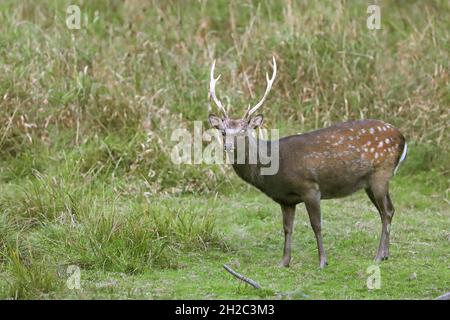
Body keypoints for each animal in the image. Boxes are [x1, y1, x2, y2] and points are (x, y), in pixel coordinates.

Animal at [207, 57, 408, 268]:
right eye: (223, 132)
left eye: (243, 131)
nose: (228, 147)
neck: (273, 169)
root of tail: (402, 138)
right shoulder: (286, 199)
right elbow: (287, 228)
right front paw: (284, 262)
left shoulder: (310, 188)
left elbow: (316, 225)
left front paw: (322, 261)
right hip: (369, 182)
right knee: (388, 210)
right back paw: (385, 254)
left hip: (381, 174)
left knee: (386, 211)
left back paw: (378, 256)